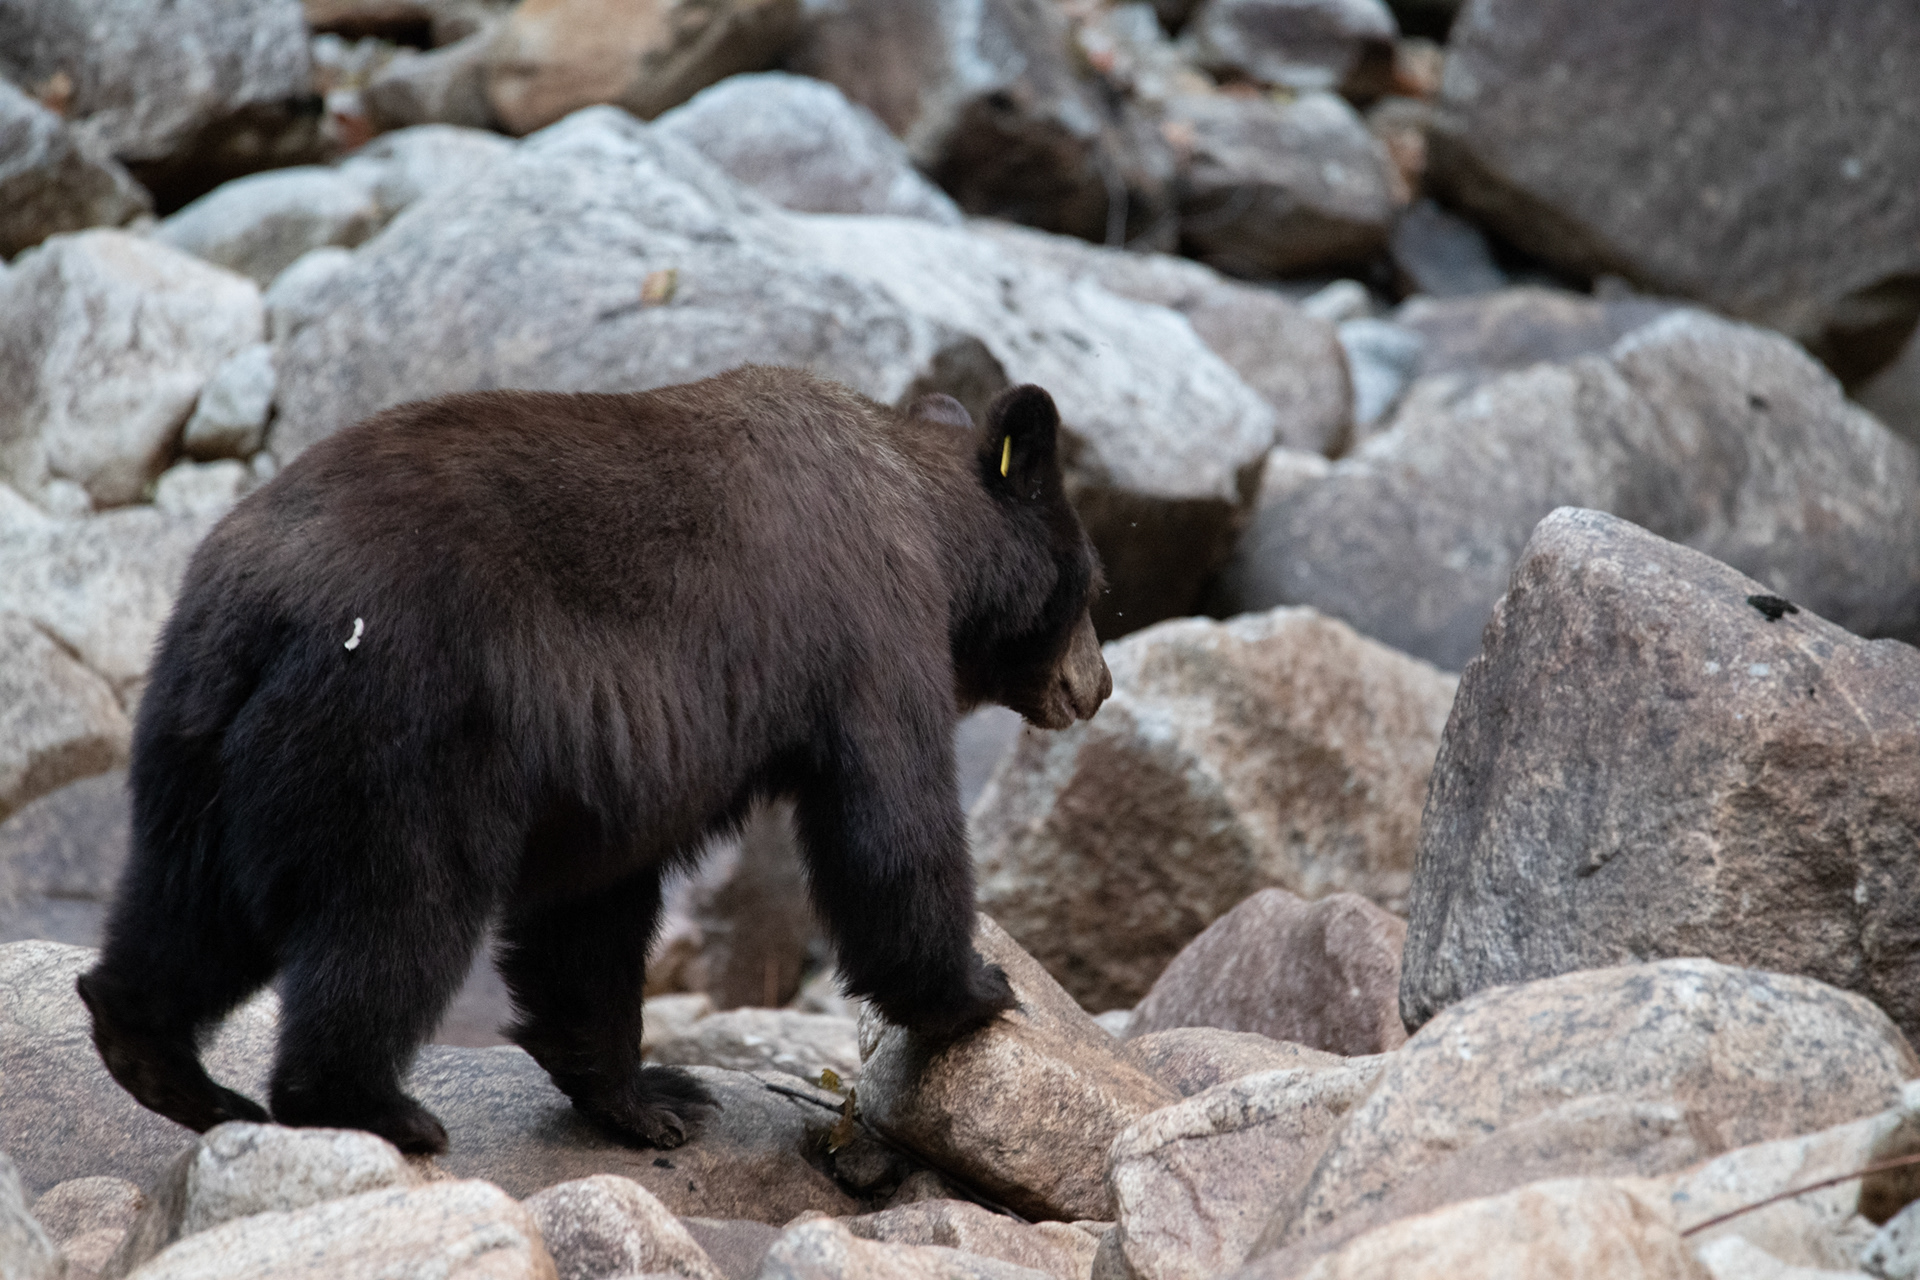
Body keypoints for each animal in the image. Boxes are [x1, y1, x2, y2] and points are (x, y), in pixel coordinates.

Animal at [76, 366, 1111, 1156]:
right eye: (1095, 585)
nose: (1096, 687)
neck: (924, 521)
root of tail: (263, 604)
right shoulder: (868, 632)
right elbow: (892, 822)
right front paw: (978, 989)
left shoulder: (608, 766)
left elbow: (590, 915)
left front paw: (651, 1098)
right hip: (396, 730)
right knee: (393, 915)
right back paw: (374, 1108)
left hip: (201, 737)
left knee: (187, 904)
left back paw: (164, 1064)